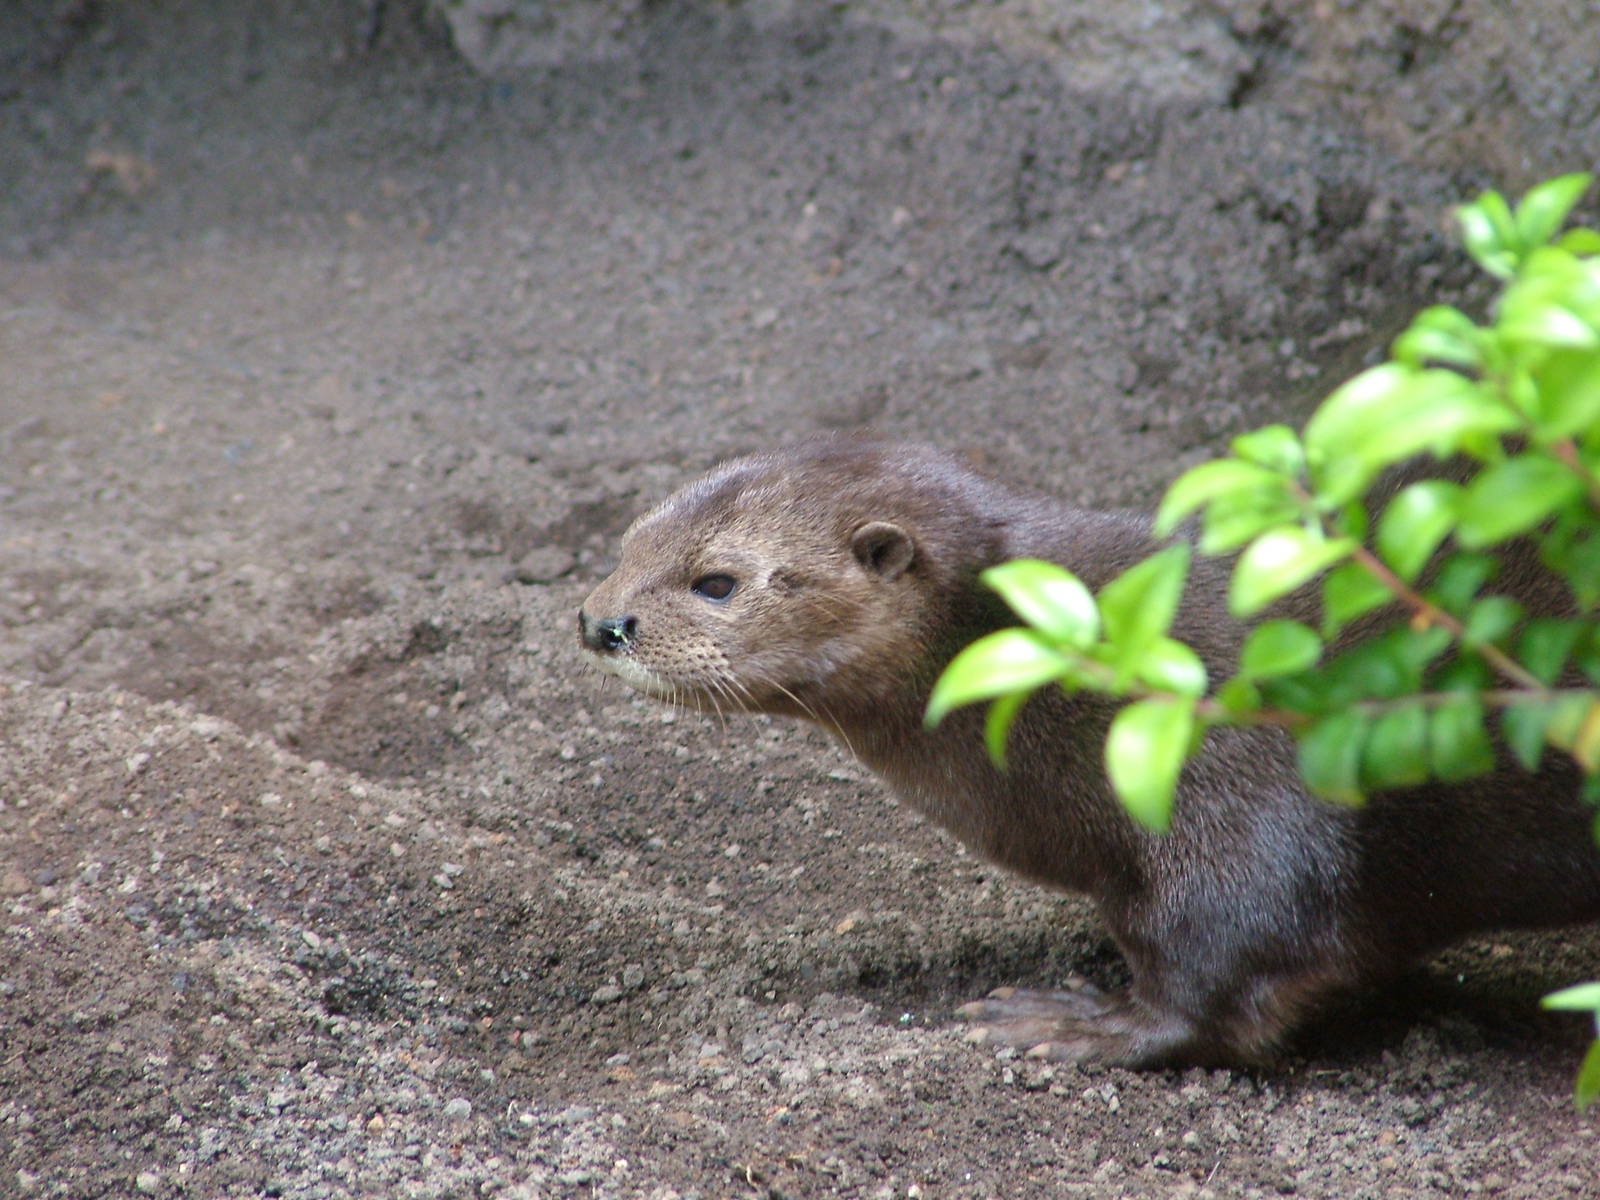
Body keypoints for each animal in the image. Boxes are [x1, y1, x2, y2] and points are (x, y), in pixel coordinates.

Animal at [577, 437, 1600, 1067]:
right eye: (628, 541)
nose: (599, 622)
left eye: (715, 582)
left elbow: (1235, 953)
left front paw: (1072, 1024)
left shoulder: (1233, 777)